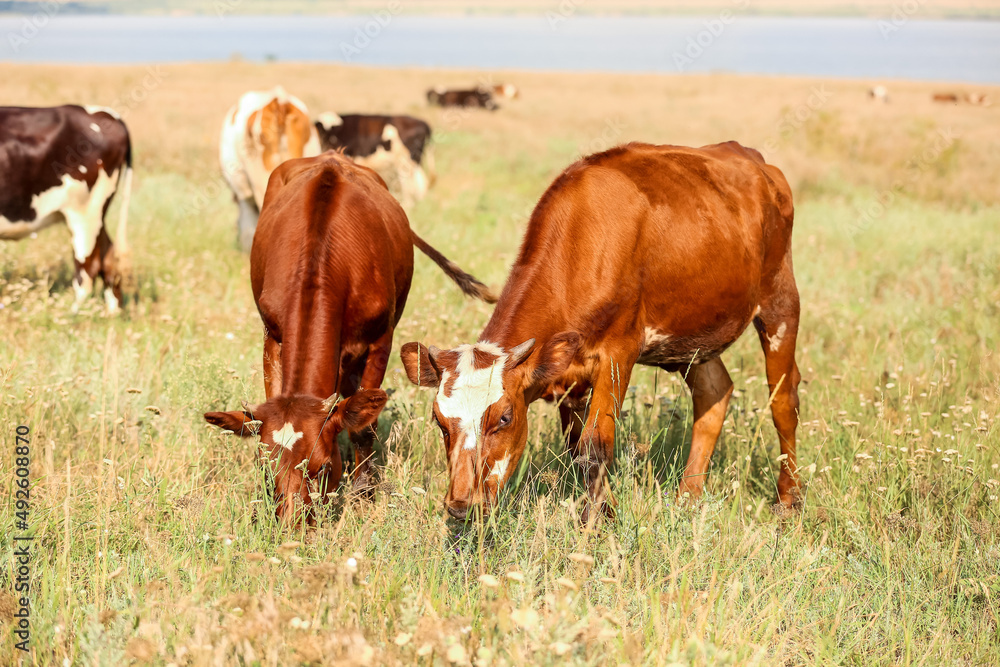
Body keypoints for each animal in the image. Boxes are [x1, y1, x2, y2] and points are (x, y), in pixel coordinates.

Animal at [0, 104, 133, 314]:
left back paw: (70, 317)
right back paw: (112, 315)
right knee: (109, 260)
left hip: (85, 213)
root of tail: (107, 114)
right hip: (96, 216)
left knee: (87, 270)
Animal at [204, 151, 500, 520]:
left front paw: (362, 490)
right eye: (266, 467)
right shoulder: (272, 336)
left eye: (322, 468)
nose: (290, 525)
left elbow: (362, 426)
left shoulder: (380, 341)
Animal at [402, 142, 800, 528]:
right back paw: (688, 497)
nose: (460, 505)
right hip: (695, 336)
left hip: (780, 300)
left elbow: (596, 445)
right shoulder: (567, 375)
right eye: (440, 422)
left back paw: (789, 501)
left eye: (504, 418)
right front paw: (600, 509)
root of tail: (753, 159)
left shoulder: (618, 354)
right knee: (714, 392)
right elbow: (577, 446)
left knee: (783, 401)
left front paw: (597, 522)